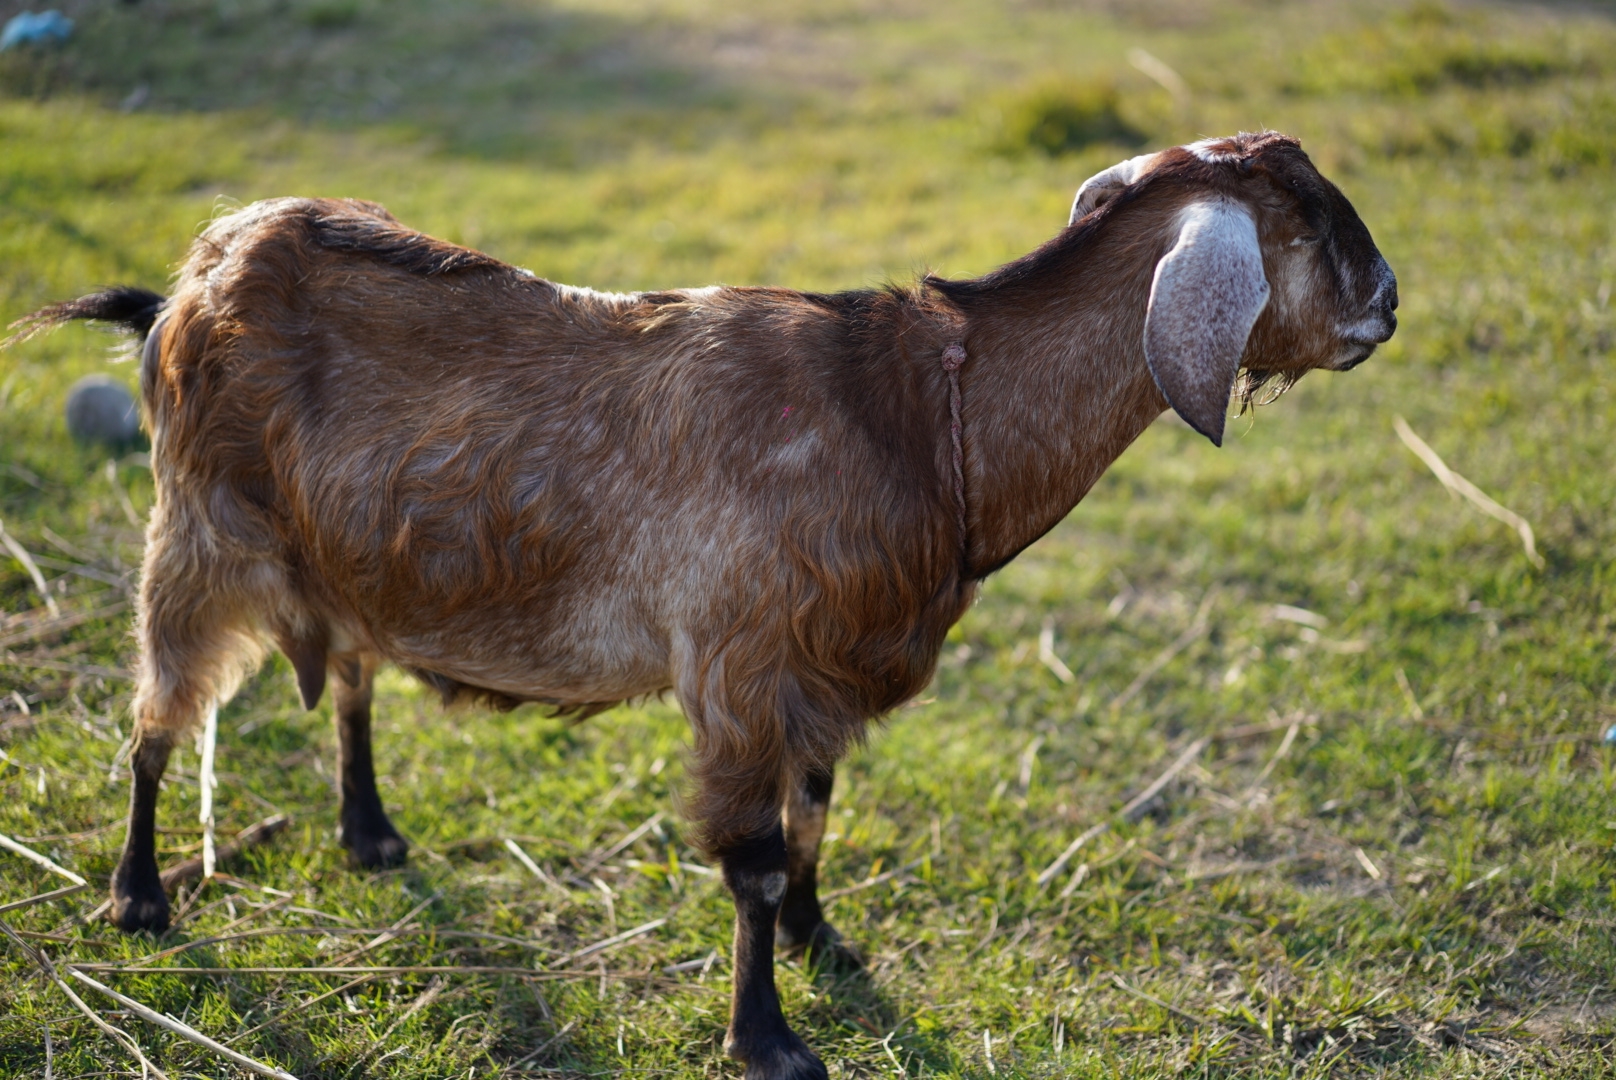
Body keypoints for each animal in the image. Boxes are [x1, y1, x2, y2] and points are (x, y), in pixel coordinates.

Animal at [12, 130, 1396, 1073]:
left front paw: (825, 947)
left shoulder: (820, 673)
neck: (915, 413)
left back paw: (369, 830)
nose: (1388, 303)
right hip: (201, 527)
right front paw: (768, 1039)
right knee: (156, 713)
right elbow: (755, 860)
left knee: (348, 673)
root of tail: (187, 281)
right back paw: (137, 894)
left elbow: (816, 818)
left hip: (339, 552)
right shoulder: (737, 666)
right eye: (1313, 223)